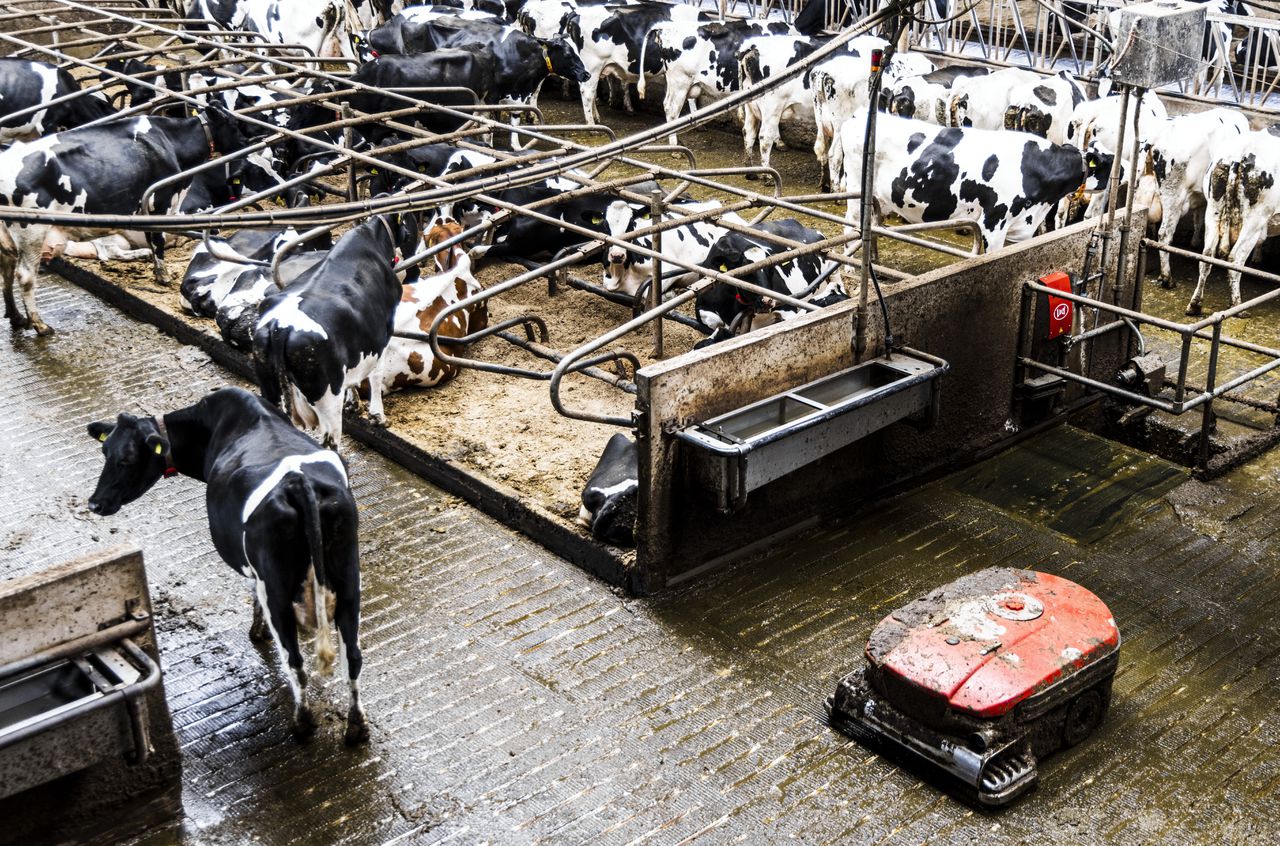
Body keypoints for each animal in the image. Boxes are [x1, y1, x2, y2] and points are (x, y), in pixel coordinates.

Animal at [0, 108, 248, 335]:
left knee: (7, 269)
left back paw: (16, 316)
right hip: (31, 231)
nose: (248, 141)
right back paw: (40, 326)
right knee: (25, 275)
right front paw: (164, 277)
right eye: (234, 124)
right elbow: (157, 240)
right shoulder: (161, 201)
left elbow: (151, 238)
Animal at [85, 386, 368, 742]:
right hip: (348, 577)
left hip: (277, 586)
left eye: (127, 458)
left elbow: (254, 597)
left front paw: (257, 631)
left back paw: (302, 722)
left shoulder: (254, 571)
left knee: (294, 659)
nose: (95, 503)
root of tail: (298, 482)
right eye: (104, 451)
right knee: (352, 656)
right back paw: (356, 727)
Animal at [249, 215, 409, 445]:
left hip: (270, 389)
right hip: (327, 399)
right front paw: (378, 416)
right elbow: (375, 375)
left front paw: (354, 403)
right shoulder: (383, 335)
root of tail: (280, 329)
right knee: (330, 441)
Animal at [1182, 130, 1274, 314]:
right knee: (1235, 258)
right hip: (1254, 221)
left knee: (1207, 255)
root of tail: (1240, 154)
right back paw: (1237, 305)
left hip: (1213, 210)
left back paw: (1195, 304)